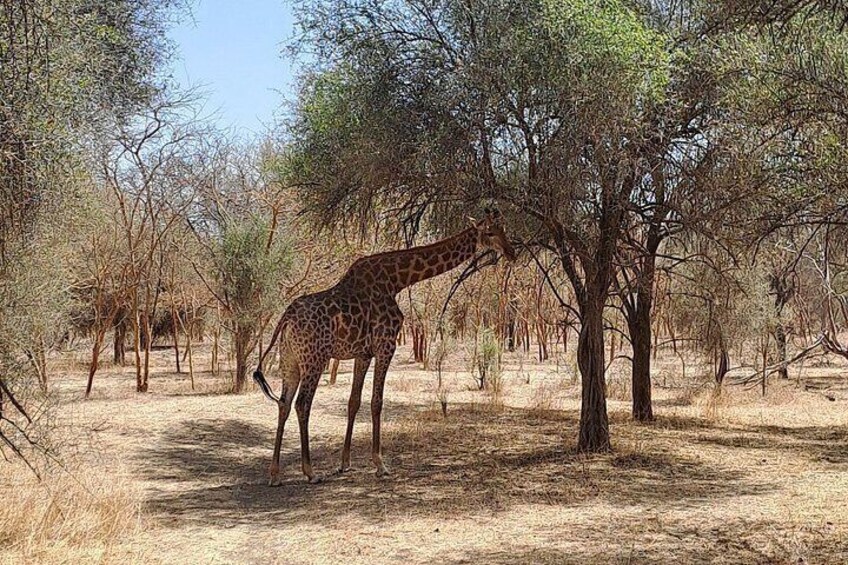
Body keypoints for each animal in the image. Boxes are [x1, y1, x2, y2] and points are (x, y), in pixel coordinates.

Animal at [252, 212, 515, 485]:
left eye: (504, 229)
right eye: (490, 233)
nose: (512, 252)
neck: (397, 280)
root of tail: (286, 317)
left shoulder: (363, 353)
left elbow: (354, 401)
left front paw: (345, 463)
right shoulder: (386, 344)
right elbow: (376, 402)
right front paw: (380, 464)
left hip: (290, 361)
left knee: (283, 403)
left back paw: (274, 474)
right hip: (314, 359)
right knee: (302, 404)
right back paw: (310, 472)